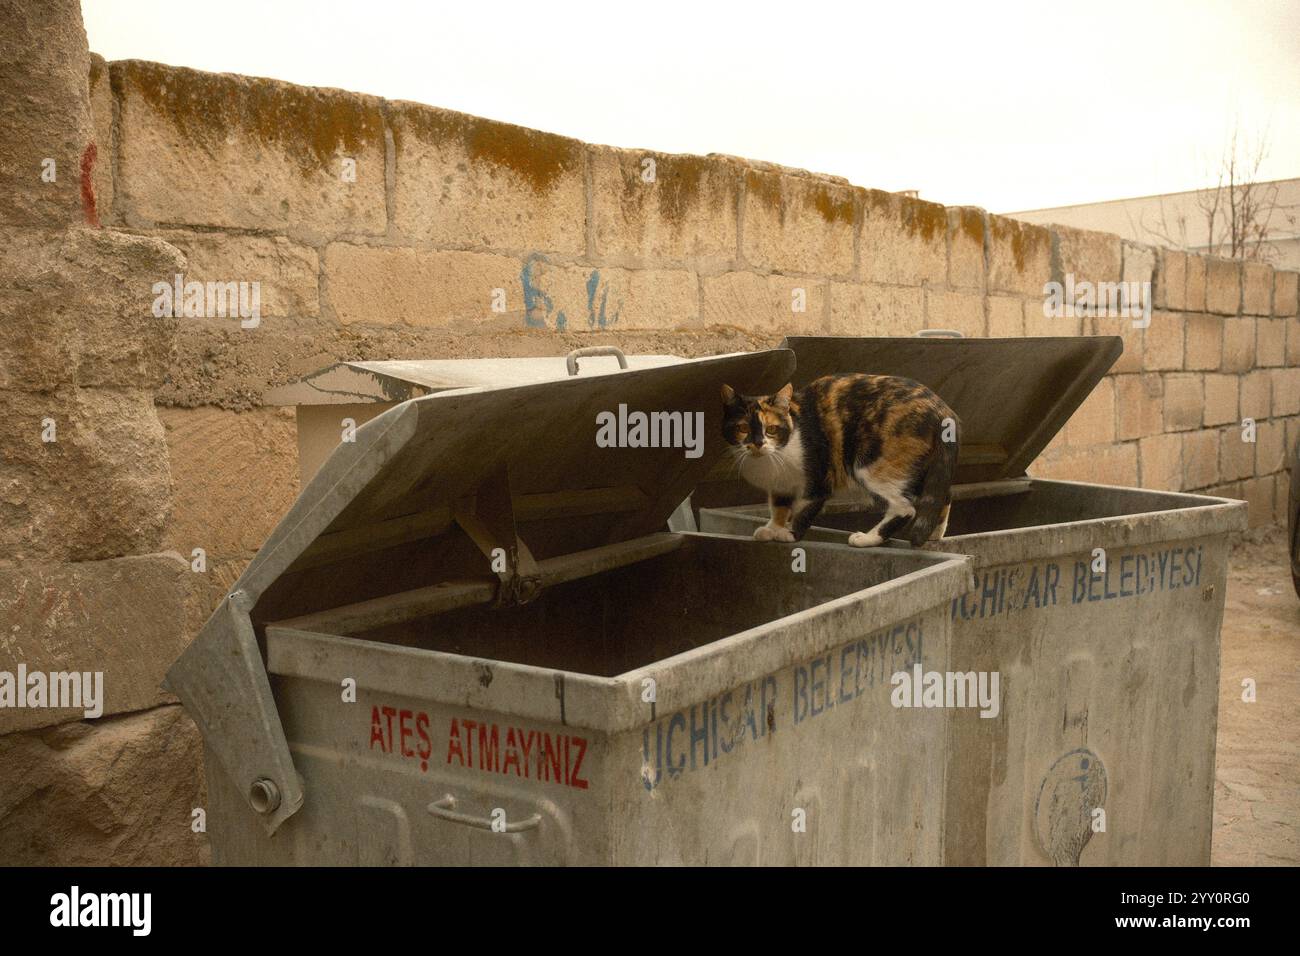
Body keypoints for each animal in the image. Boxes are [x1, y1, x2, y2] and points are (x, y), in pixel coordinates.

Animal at [722, 377, 956, 548]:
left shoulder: (820, 478)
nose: (757, 443)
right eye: (743, 428)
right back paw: (934, 533)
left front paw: (789, 533)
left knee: (904, 507)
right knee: (941, 494)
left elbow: (803, 509)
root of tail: (941, 410)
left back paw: (867, 538)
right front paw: (772, 528)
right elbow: (779, 506)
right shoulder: (780, 485)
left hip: (871, 464)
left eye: (771, 429)